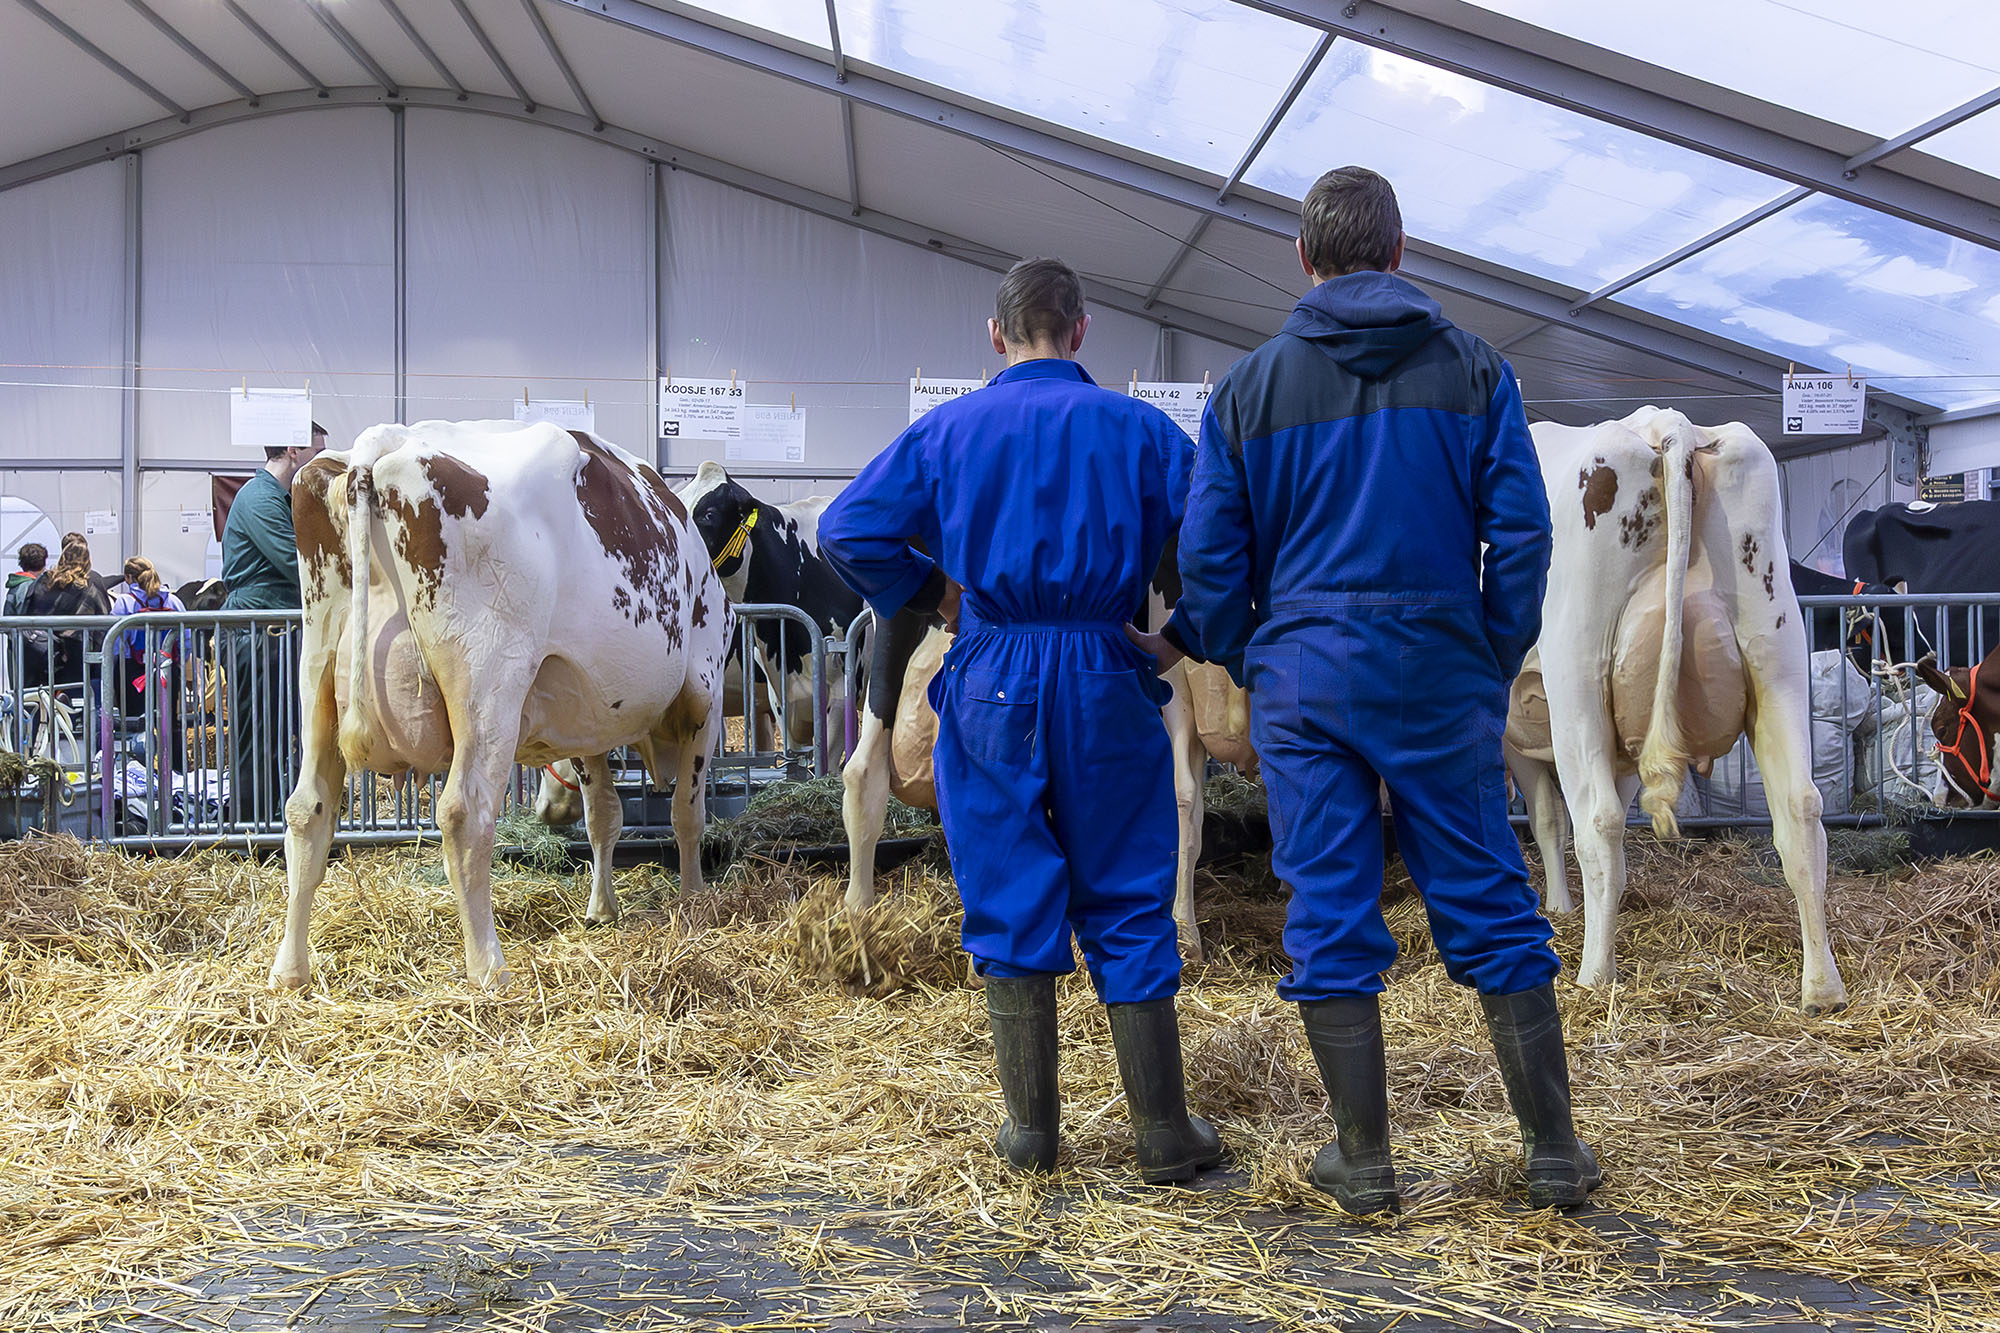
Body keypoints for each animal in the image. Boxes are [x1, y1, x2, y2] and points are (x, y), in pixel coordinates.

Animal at [269, 420, 732, 992]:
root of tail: (385, 442)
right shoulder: (704, 691)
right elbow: (687, 812)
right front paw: (694, 901)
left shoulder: (587, 716)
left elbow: (603, 814)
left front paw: (602, 909)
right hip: (489, 680)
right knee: (464, 813)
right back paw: (488, 967)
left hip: (318, 673)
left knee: (306, 809)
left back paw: (289, 971)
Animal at [1506, 406, 1846, 1014]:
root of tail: (1667, 423)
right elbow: (1548, 818)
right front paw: (1559, 907)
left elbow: (1539, 818)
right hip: (1777, 652)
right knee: (1801, 810)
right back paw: (1823, 990)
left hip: (1578, 673)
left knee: (1599, 822)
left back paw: (1594, 974)